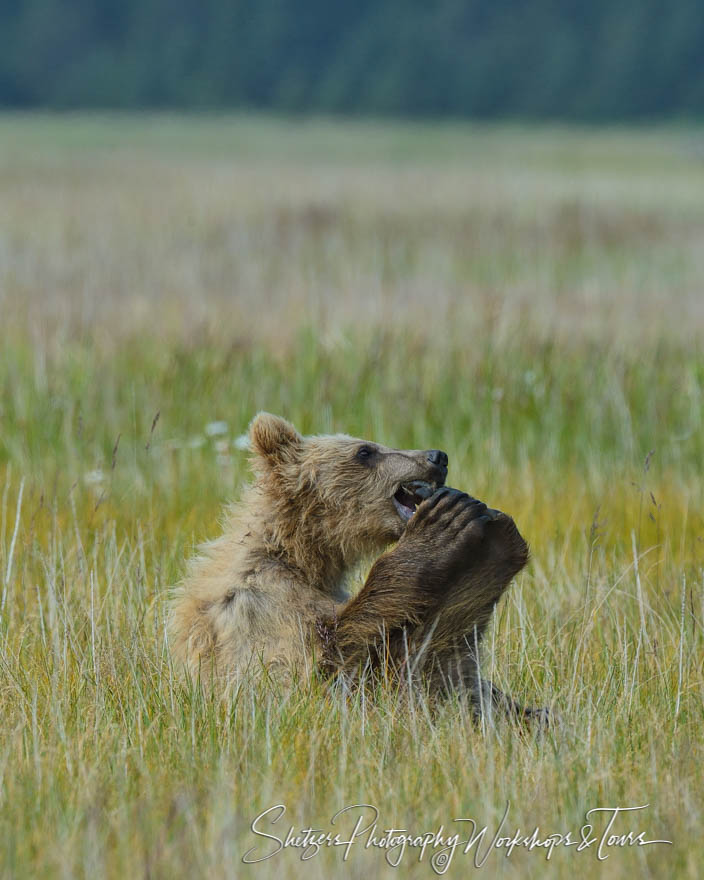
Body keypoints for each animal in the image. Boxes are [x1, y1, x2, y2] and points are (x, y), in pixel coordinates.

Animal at [169, 412, 540, 720]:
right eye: (365, 451)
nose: (437, 456)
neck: (299, 556)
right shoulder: (260, 608)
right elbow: (314, 668)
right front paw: (441, 530)